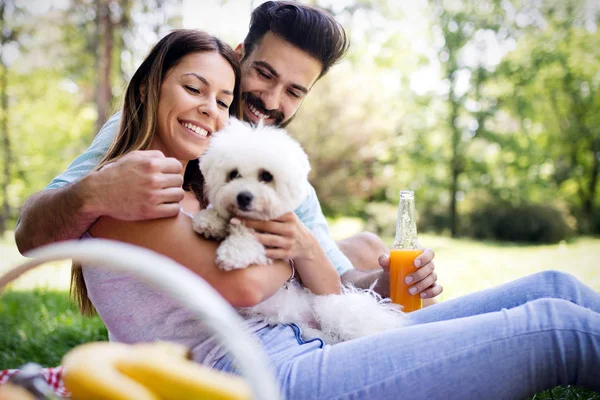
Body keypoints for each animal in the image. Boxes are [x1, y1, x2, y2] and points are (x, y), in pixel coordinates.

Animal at [195, 119, 410, 344]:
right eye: (233, 174)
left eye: (266, 176)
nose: (243, 196)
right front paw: (209, 221)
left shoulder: (273, 241)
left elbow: (249, 240)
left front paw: (231, 253)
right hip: (310, 330)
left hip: (331, 312)